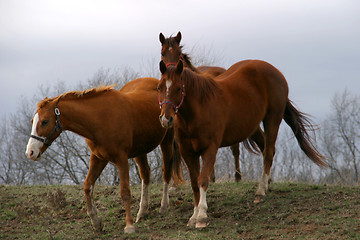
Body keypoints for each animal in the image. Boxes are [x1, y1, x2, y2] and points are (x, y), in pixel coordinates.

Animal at [25, 77, 183, 234]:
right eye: (33, 121)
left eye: (45, 121)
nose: (30, 152)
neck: (100, 119)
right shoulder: (98, 158)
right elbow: (87, 186)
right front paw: (96, 222)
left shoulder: (121, 159)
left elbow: (125, 191)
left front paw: (129, 225)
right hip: (140, 150)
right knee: (145, 174)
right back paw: (142, 212)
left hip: (167, 141)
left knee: (166, 171)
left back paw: (163, 207)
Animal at [158, 59, 326, 228]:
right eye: (159, 87)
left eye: (178, 88)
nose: (166, 119)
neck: (199, 109)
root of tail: (275, 71)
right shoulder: (187, 152)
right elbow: (194, 183)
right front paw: (194, 216)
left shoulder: (210, 149)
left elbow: (203, 180)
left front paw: (202, 216)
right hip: (253, 126)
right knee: (266, 148)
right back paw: (267, 183)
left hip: (272, 119)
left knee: (268, 152)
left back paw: (260, 191)